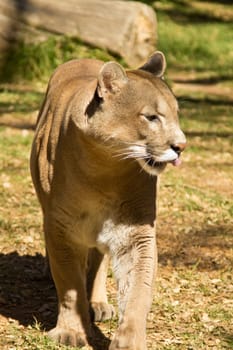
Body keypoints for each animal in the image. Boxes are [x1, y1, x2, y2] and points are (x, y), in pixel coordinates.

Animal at [30, 50, 186, 348]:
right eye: (151, 117)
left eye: (176, 114)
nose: (181, 146)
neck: (105, 168)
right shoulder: (60, 227)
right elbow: (69, 285)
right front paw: (71, 331)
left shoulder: (135, 232)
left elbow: (137, 290)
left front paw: (129, 340)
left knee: (98, 260)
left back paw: (98, 303)